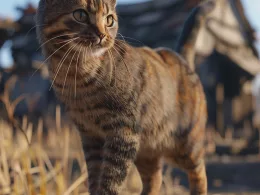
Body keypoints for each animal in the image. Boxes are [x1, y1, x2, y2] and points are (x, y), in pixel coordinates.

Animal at [36, 0, 211, 195]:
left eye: (109, 19)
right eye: (80, 15)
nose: (102, 35)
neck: (77, 73)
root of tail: (180, 57)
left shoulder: (124, 130)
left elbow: (111, 179)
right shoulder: (90, 136)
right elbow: (95, 177)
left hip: (184, 145)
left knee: (199, 172)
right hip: (146, 150)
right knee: (155, 178)